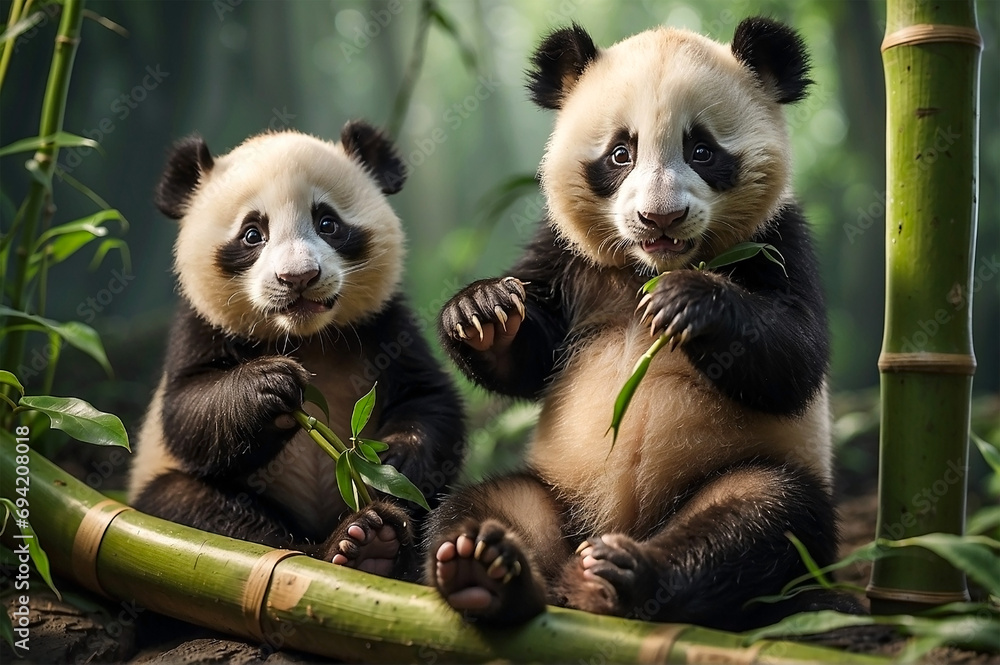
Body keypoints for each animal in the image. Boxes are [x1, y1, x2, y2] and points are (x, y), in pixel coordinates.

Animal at [128, 121, 465, 579]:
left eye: (328, 223)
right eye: (252, 234)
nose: (299, 277)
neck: (306, 338)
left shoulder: (384, 325)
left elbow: (429, 399)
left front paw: (390, 460)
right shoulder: (199, 325)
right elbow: (185, 413)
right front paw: (269, 385)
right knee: (193, 508)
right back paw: (351, 544)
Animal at [425, 18, 858, 629]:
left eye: (702, 150)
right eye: (619, 153)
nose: (660, 218)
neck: (644, 270)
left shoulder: (778, 239)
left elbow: (794, 359)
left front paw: (689, 304)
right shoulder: (565, 256)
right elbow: (528, 363)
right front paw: (481, 309)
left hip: (745, 475)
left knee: (762, 518)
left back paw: (622, 578)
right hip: (556, 489)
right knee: (485, 505)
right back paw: (483, 569)